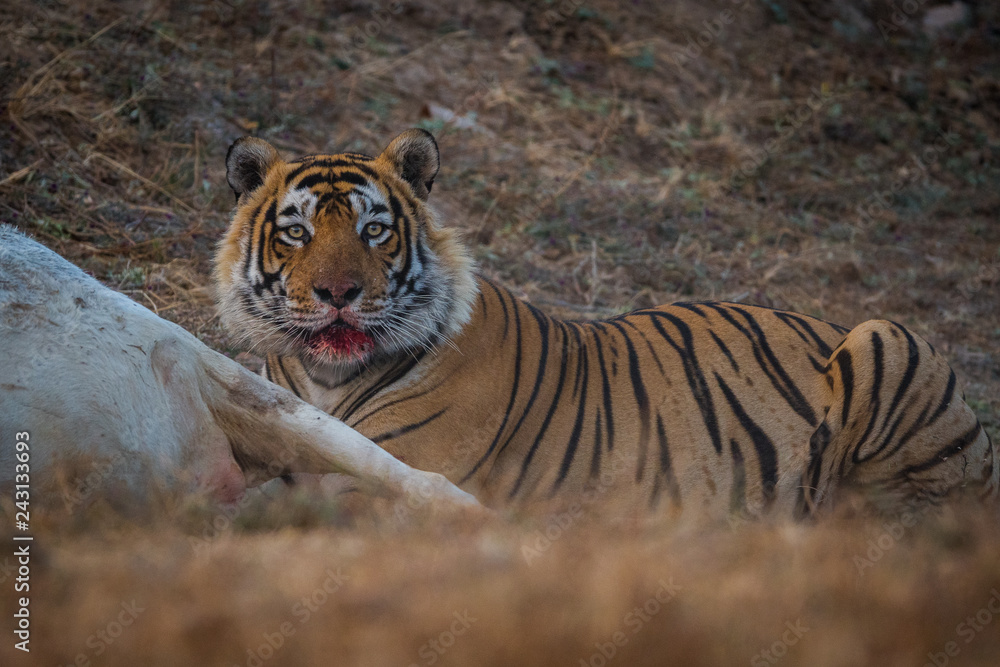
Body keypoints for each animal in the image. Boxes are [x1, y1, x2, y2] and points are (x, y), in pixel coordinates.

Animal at [213, 128, 998, 517]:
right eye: (296, 233)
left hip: (885, 338)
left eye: (374, 230)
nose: (338, 292)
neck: (324, 376)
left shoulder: (391, 478)